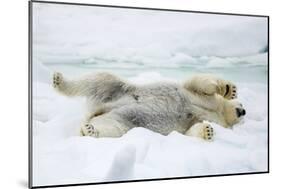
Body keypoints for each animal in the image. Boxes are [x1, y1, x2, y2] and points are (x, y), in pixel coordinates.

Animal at [52, 71, 245, 141]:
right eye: (242, 103)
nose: (243, 111)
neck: (218, 111)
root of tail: (97, 110)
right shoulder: (199, 96)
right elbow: (199, 83)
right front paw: (230, 89)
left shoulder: (200, 118)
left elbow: (190, 130)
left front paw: (208, 131)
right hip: (118, 90)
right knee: (98, 79)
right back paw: (59, 80)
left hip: (122, 120)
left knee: (112, 128)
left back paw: (90, 130)